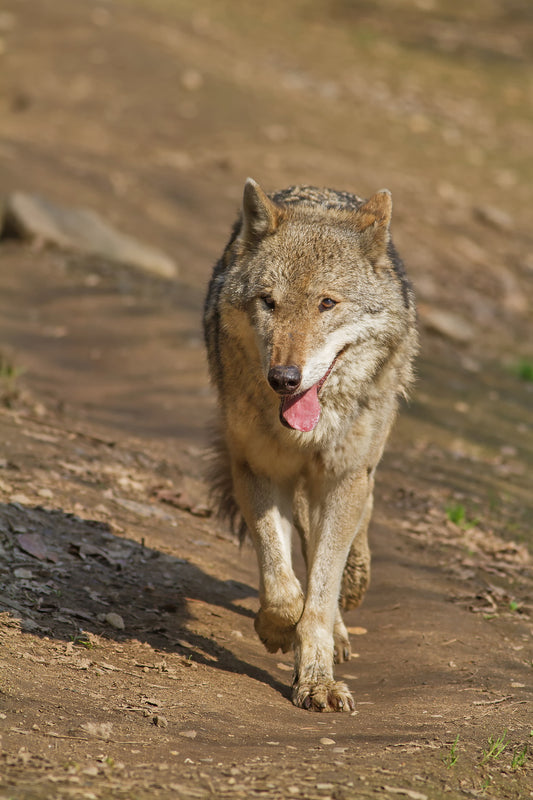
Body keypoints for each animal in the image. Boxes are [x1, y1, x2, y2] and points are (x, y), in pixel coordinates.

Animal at [203, 178, 416, 708]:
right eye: (268, 302)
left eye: (327, 304)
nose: (283, 378)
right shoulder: (257, 469)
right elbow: (285, 588)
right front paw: (279, 631)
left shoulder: (343, 478)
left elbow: (320, 593)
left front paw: (317, 679)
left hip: (354, 467)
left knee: (352, 531)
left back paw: (353, 584)